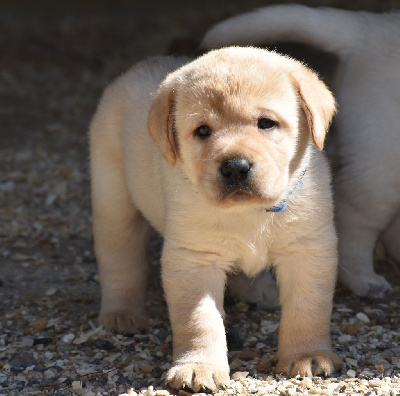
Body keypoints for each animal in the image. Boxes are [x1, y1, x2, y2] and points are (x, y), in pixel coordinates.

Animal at [90, 46, 340, 390]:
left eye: (266, 123)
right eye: (203, 131)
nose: (235, 167)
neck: (249, 212)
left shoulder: (308, 249)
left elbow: (307, 308)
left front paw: (307, 355)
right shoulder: (193, 260)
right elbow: (199, 321)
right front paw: (199, 367)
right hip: (113, 200)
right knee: (120, 261)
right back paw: (121, 313)